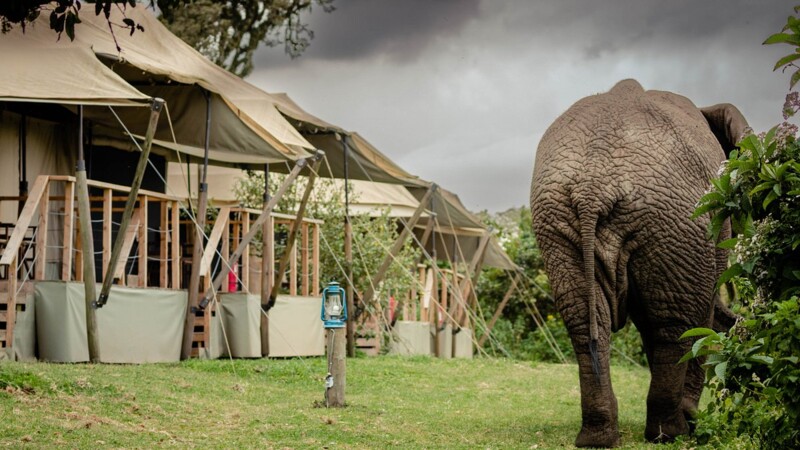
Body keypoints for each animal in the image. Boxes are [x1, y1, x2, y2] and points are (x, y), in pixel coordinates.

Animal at [529, 79, 747, 447]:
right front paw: (693, 422)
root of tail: (593, 188)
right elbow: (702, 318)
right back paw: (671, 433)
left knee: (587, 323)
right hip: (678, 220)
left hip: (560, 221)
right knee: (677, 324)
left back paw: (599, 438)